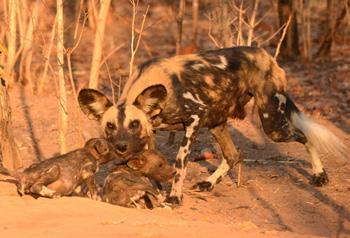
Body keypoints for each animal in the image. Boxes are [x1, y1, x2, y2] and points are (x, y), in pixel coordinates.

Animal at [77, 46, 348, 205]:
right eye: (110, 126)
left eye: (133, 124)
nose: (122, 147)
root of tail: (265, 54)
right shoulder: (153, 134)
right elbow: (152, 169)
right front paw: (157, 192)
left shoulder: (194, 119)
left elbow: (180, 162)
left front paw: (174, 196)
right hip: (218, 123)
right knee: (233, 155)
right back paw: (208, 183)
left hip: (272, 125)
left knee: (304, 135)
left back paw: (319, 175)